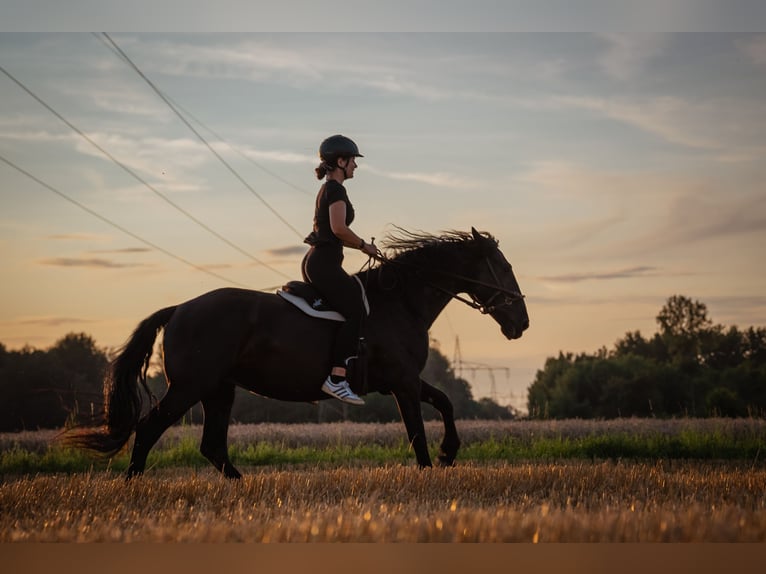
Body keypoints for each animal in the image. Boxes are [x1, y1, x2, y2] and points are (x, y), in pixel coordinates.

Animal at [69, 227, 532, 480]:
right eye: (505, 268)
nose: (522, 323)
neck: (401, 302)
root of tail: (179, 308)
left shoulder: (403, 381)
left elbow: (447, 402)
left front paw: (449, 453)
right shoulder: (402, 383)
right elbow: (418, 432)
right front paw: (431, 470)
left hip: (219, 390)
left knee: (212, 446)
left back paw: (245, 488)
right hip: (189, 387)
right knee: (149, 428)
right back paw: (132, 486)